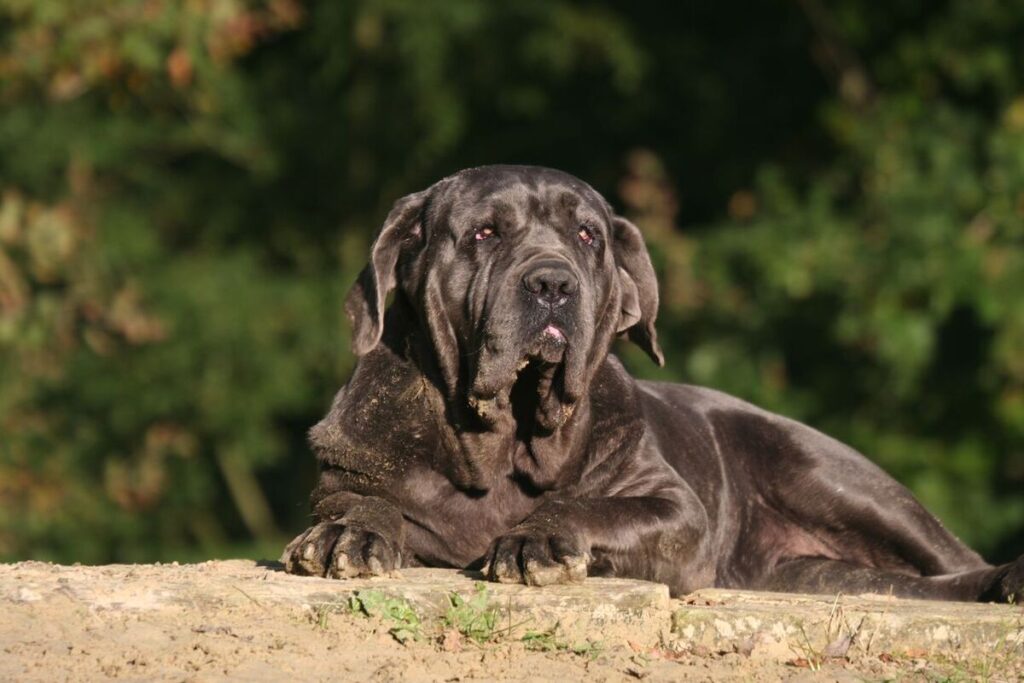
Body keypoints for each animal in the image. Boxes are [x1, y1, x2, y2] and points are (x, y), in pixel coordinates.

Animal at [284, 166, 1024, 602]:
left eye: (587, 236)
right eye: (485, 233)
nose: (552, 282)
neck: (502, 441)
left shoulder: (675, 510)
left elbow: (591, 507)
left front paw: (536, 536)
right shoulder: (343, 478)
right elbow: (359, 502)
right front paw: (347, 535)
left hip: (834, 476)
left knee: (952, 554)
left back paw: (1007, 579)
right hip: (821, 569)